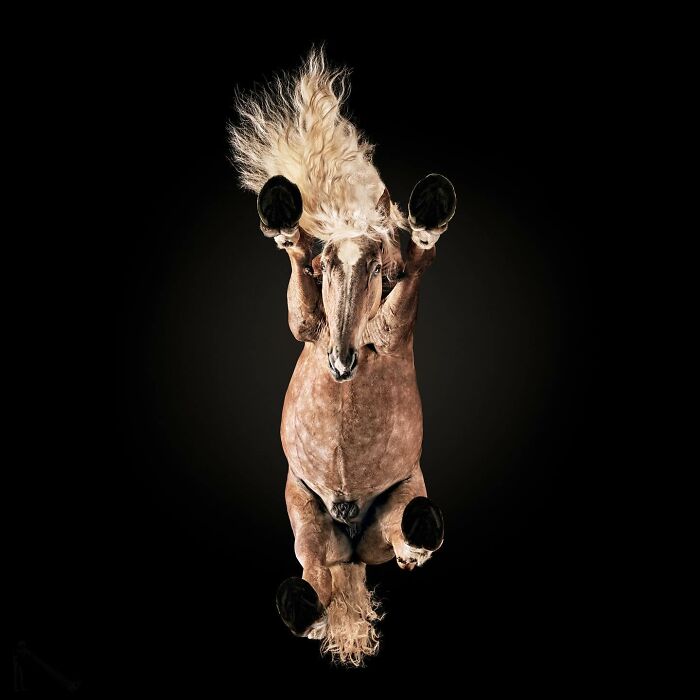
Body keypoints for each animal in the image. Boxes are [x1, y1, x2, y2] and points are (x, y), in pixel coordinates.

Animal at [229, 50, 456, 665]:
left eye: (379, 267)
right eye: (325, 265)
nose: (341, 361)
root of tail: (350, 540)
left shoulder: (393, 329)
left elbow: (409, 287)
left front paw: (428, 222)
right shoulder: (307, 324)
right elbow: (299, 296)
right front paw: (284, 225)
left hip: (394, 512)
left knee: (406, 538)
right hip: (308, 522)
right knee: (317, 578)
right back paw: (308, 610)